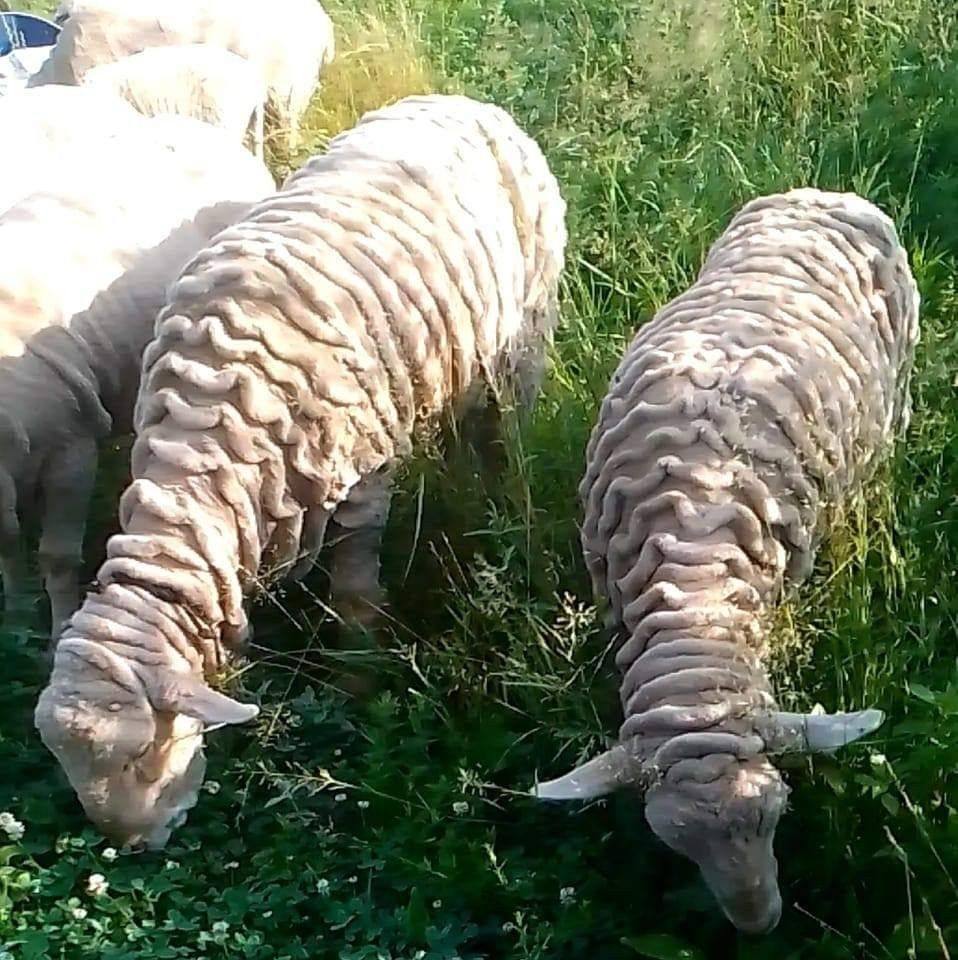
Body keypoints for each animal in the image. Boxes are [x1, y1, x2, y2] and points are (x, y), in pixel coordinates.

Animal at [34, 93, 567, 851]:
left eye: (143, 753)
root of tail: (464, 101)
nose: (134, 845)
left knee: (506, 435)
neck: (202, 463)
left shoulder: (363, 476)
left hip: (526, 336)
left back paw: (503, 505)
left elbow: (355, 593)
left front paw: (359, 684)